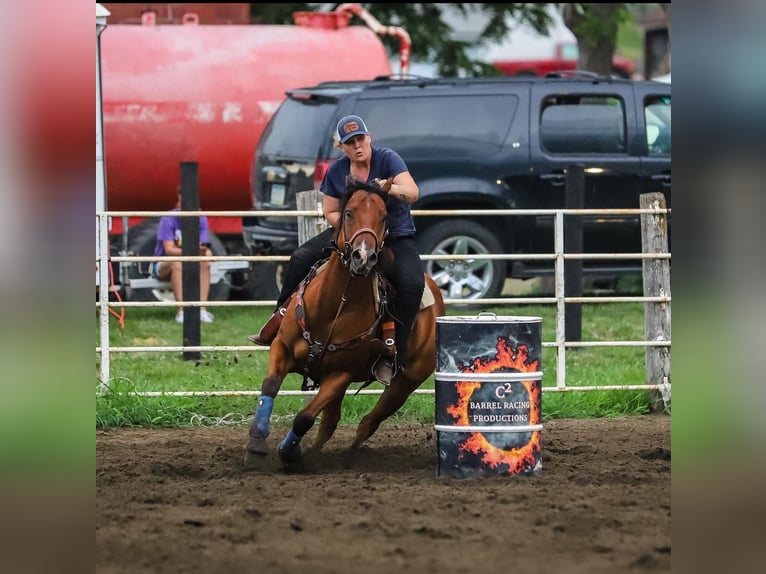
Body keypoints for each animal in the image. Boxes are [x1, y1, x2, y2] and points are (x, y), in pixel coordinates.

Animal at [246, 177, 448, 472]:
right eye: (349, 212)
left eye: (384, 216)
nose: (363, 257)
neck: (334, 306)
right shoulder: (282, 347)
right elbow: (270, 385)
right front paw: (256, 444)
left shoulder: (341, 374)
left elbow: (305, 417)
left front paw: (289, 453)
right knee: (332, 422)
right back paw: (314, 452)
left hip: (406, 382)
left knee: (367, 423)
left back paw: (344, 459)